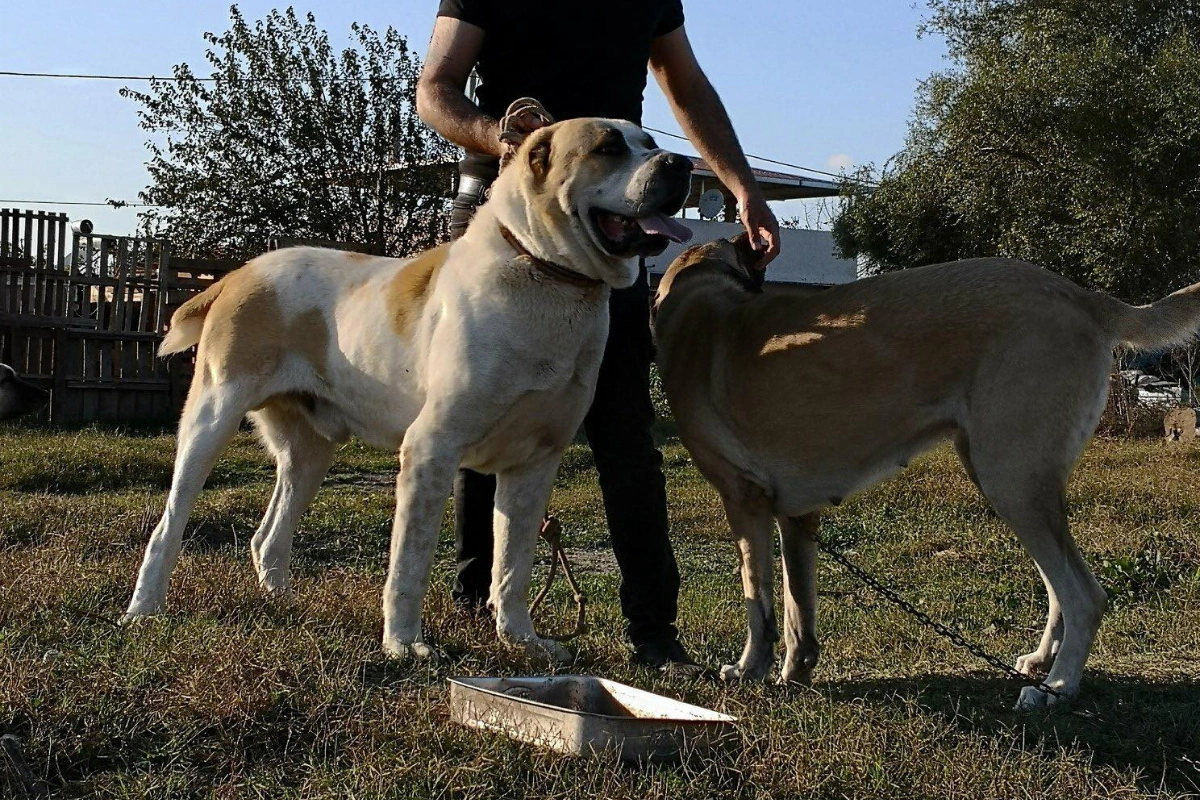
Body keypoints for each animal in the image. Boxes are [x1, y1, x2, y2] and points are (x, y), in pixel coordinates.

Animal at [123, 113, 696, 662]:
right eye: (608, 147)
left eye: (649, 142)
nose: (681, 163)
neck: (544, 272)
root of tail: (239, 274)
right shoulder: (430, 449)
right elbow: (411, 564)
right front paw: (404, 645)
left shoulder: (534, 465)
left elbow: (512, 568)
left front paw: (521, 641)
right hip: (210, 420)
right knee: (167, 527)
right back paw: (145, 611)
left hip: (309, 453)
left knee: (268, 537)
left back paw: (284, 603)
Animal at [657, 232, 1200, 705]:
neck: (703, 316)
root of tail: (1082, 296)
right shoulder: (797, 516)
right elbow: (797, 607)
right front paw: (795, 672)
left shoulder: (744, 503)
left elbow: (759, 601)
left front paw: (749, 669)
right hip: (1013, 480)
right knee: (1058, 587)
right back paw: (1043, 661)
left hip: (1011, 482)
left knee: (1085, 595)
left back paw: (1059, 687)